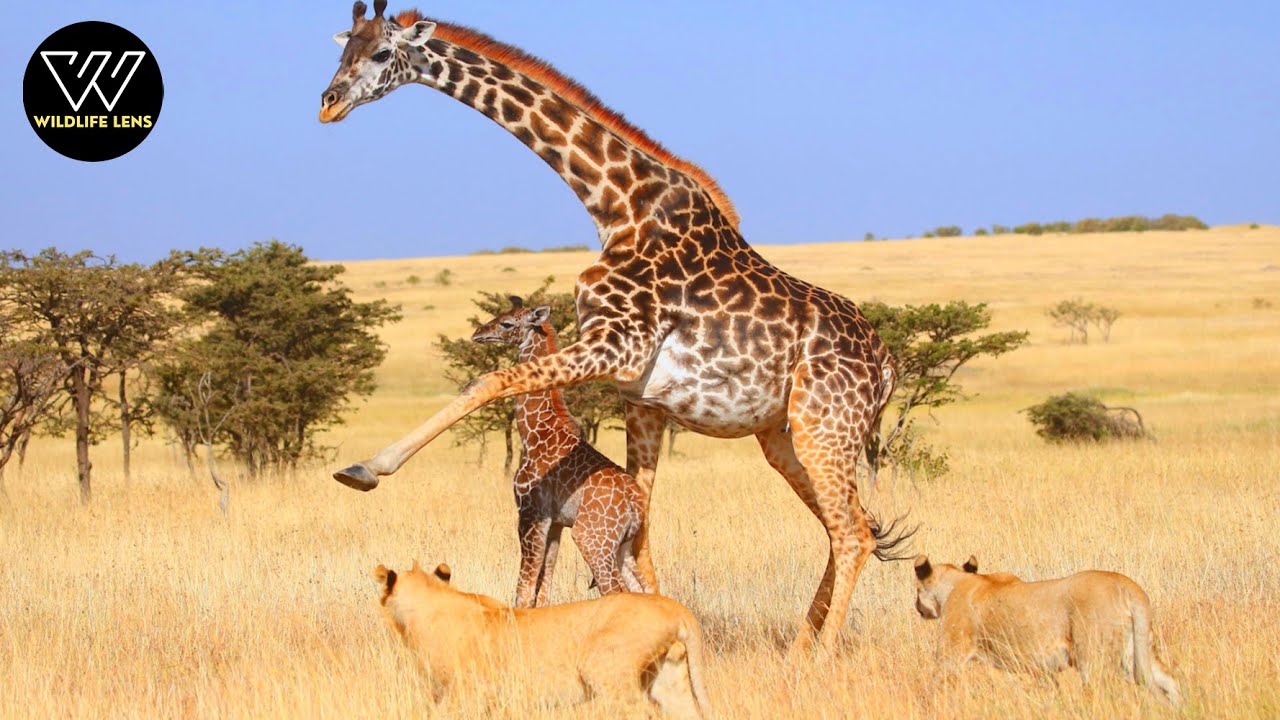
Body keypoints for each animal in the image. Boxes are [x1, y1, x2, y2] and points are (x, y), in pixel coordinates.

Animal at [472, 296, 651, 607]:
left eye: (507, 323)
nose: (478, 333)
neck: (534, 432)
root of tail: (635, 502)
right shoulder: (555, 523)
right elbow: (544, 587)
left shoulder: (531, 512)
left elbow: (524, 588)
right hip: (624, 545)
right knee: (646, 589)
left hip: (592, 538)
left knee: (615, 590)